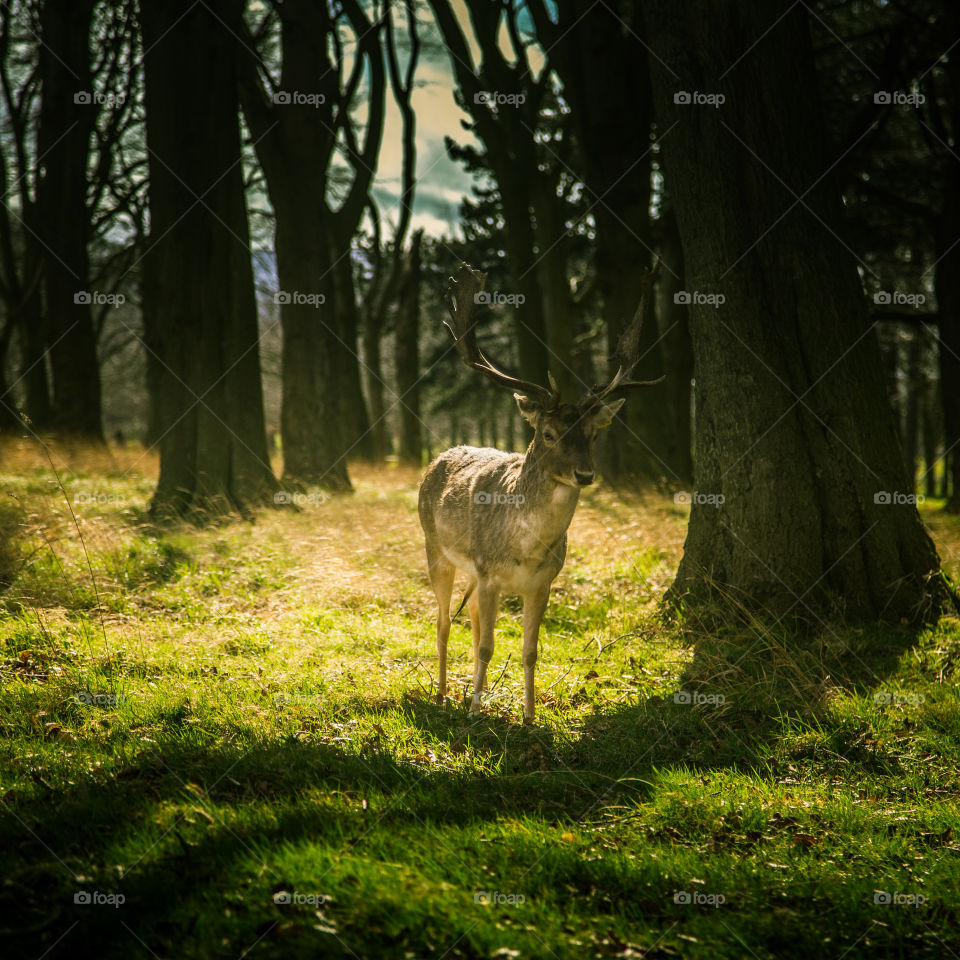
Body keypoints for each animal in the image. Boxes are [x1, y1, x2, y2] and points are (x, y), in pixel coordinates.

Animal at [416, 258, 664, 724]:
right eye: (548, 434)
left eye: (593, 435)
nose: (584, 474)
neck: (525, 549)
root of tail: (436, 458)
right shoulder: (490, 572)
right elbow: (487, 646)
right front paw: (475, 711)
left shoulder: (542, 582)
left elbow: (530, 651)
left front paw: (530, 717)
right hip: (435, 546)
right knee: (442, 620)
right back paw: (441, 694)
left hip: (470, 570)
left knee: (467, 615)